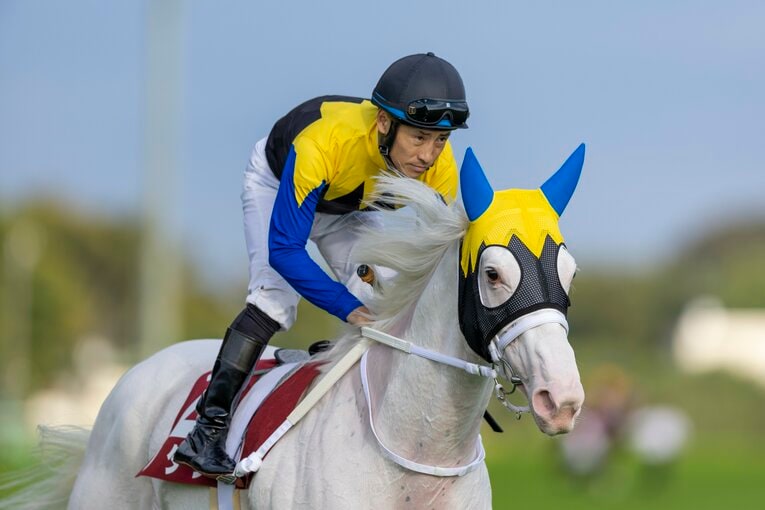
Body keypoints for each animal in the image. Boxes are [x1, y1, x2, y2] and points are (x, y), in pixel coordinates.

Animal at [3, 145, 586, 510]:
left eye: (570, 272)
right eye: (493, 273)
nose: (562, 399)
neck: (417, 459)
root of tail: (134, 376)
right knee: (269, 301)